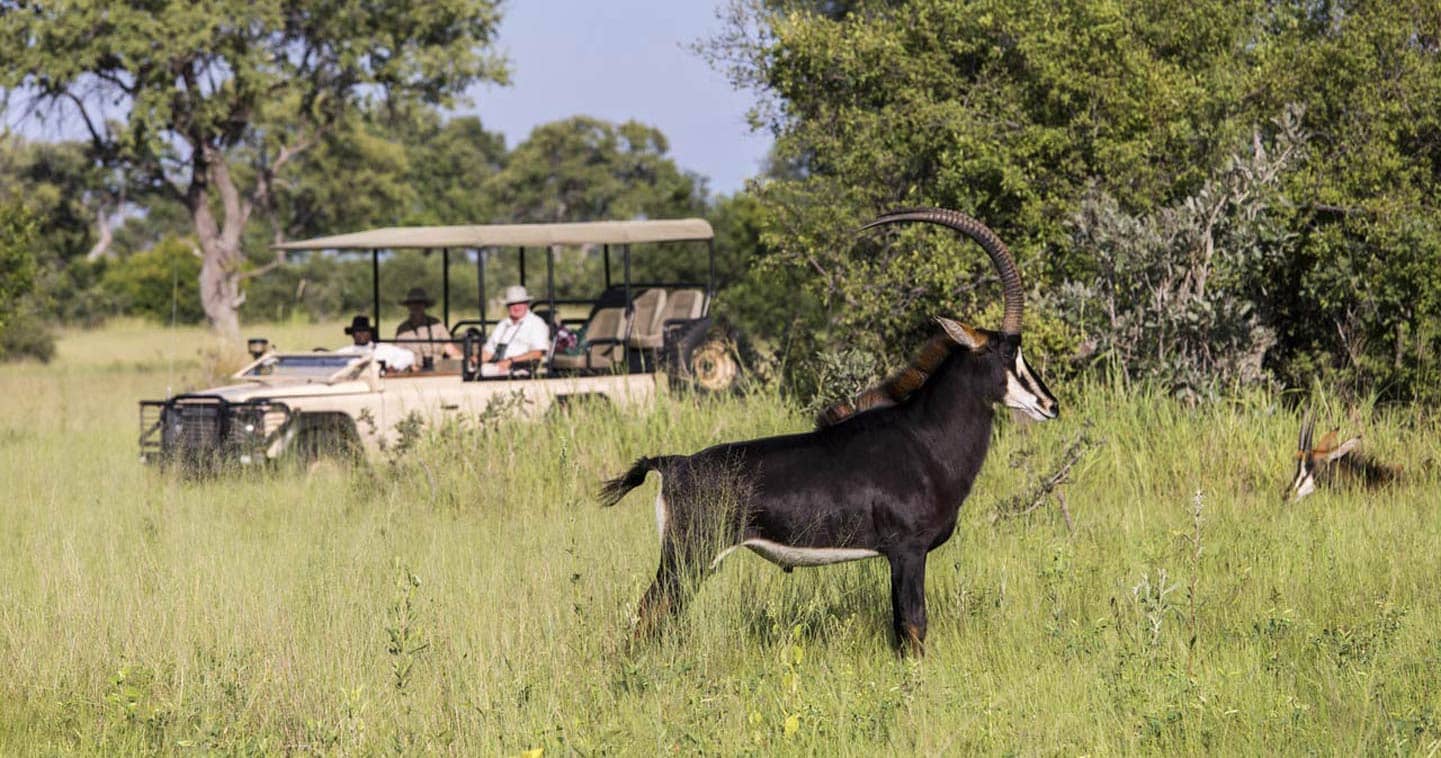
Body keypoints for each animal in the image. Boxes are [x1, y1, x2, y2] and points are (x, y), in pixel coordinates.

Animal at [596, 208, 1060, 660]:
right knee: (647, 615)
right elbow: (913, 628)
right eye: (1008, 354)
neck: (924, 439)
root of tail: (672, 464)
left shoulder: (896, 557)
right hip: (688, 558)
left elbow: (902, 628)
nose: (1050, 405)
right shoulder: (908, 552)